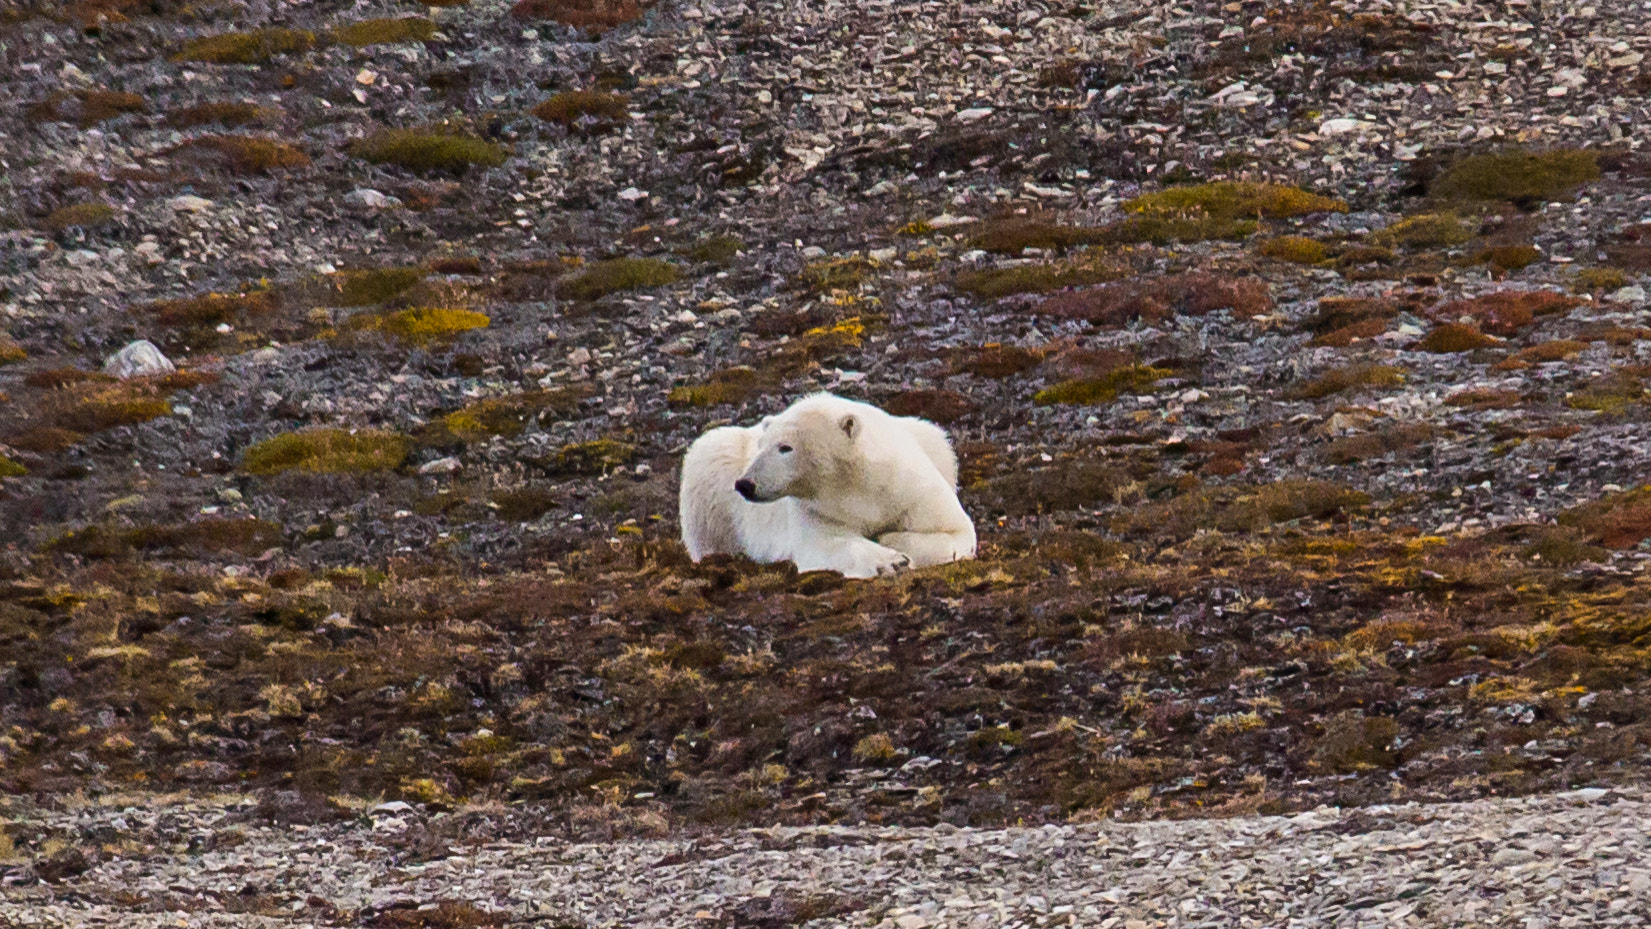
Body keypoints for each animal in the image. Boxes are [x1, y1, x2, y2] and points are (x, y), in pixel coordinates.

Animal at [676, 394, 970, 580]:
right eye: (761, 446)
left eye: (785, 447)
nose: (745, 484)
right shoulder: (816, 510)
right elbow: (826, 544)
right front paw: (891, 562)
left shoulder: (908, 486)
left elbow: (955, 531)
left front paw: (890, 540)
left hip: (930, 439)